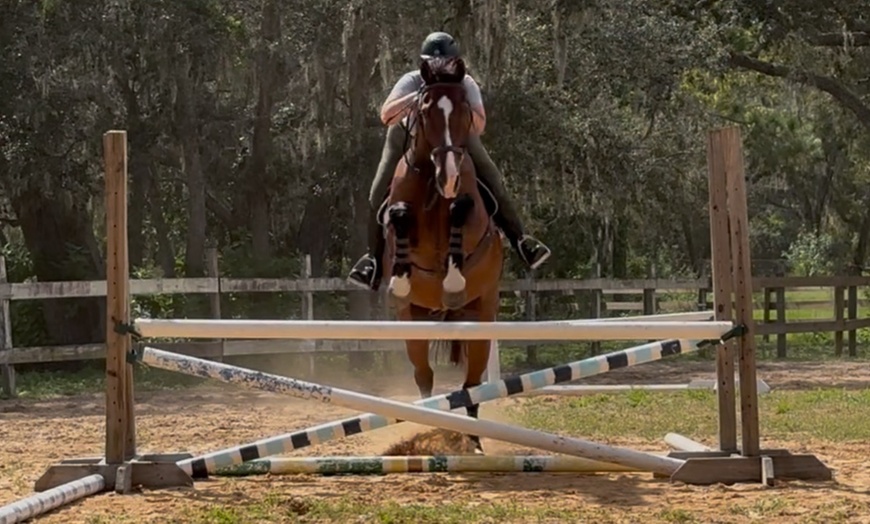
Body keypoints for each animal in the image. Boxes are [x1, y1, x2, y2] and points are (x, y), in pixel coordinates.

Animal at [380, 56, 504, 454]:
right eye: (424, 110)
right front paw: (401, 281)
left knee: (471, 385)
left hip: (481, 317)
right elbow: (400, 214)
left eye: (464, 109)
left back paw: (473, 440)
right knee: (424, 376)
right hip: (413, 322)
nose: (449, 176)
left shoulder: (468, 212)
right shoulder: (400, 212)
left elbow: (461, 211)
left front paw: (452, 281)